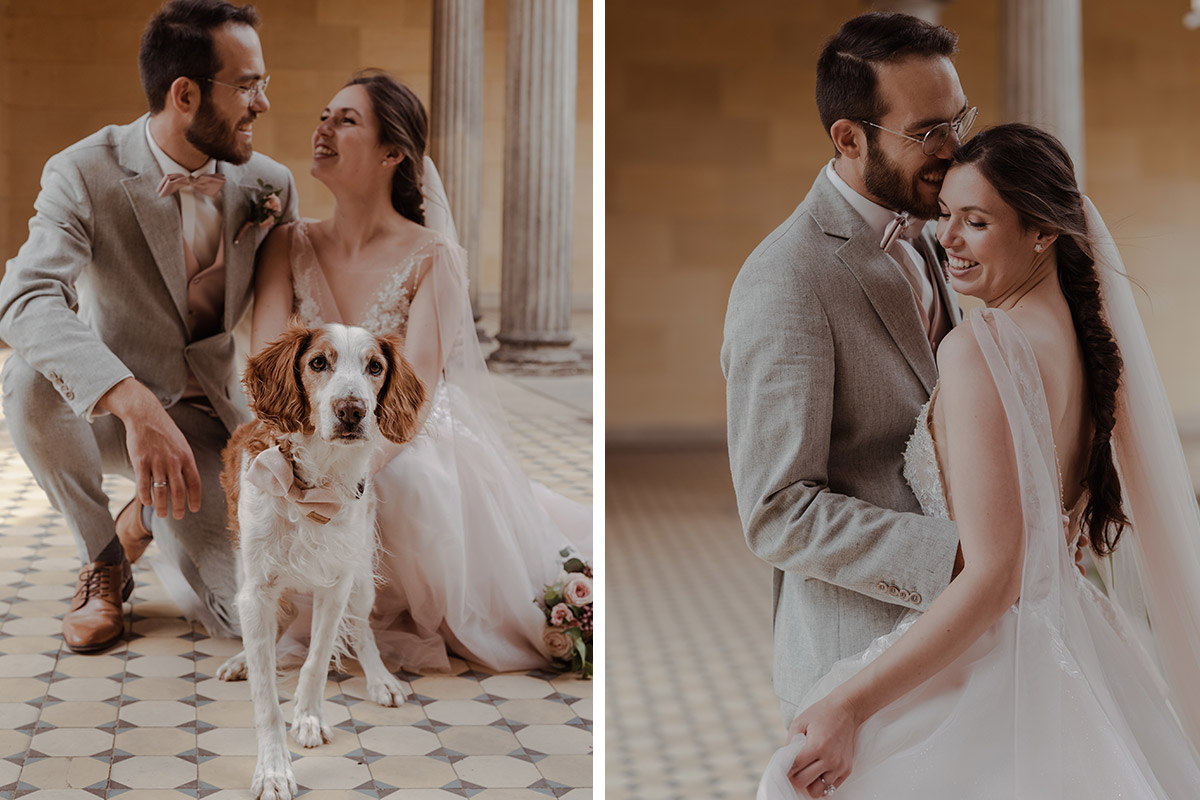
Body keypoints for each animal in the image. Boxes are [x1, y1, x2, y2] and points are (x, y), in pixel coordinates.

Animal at [216, 323, 427, 800]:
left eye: (375, 367)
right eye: (317, 362)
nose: (352, 411)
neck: (313, 485)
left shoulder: (337, 584)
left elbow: (316, 660)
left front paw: (309, 717)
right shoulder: (257, 590)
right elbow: (265, 697)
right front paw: (273, 770)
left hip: (362, 577)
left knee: (363, 629)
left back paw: (380, 679)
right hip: (243, 571)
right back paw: (241, 660)